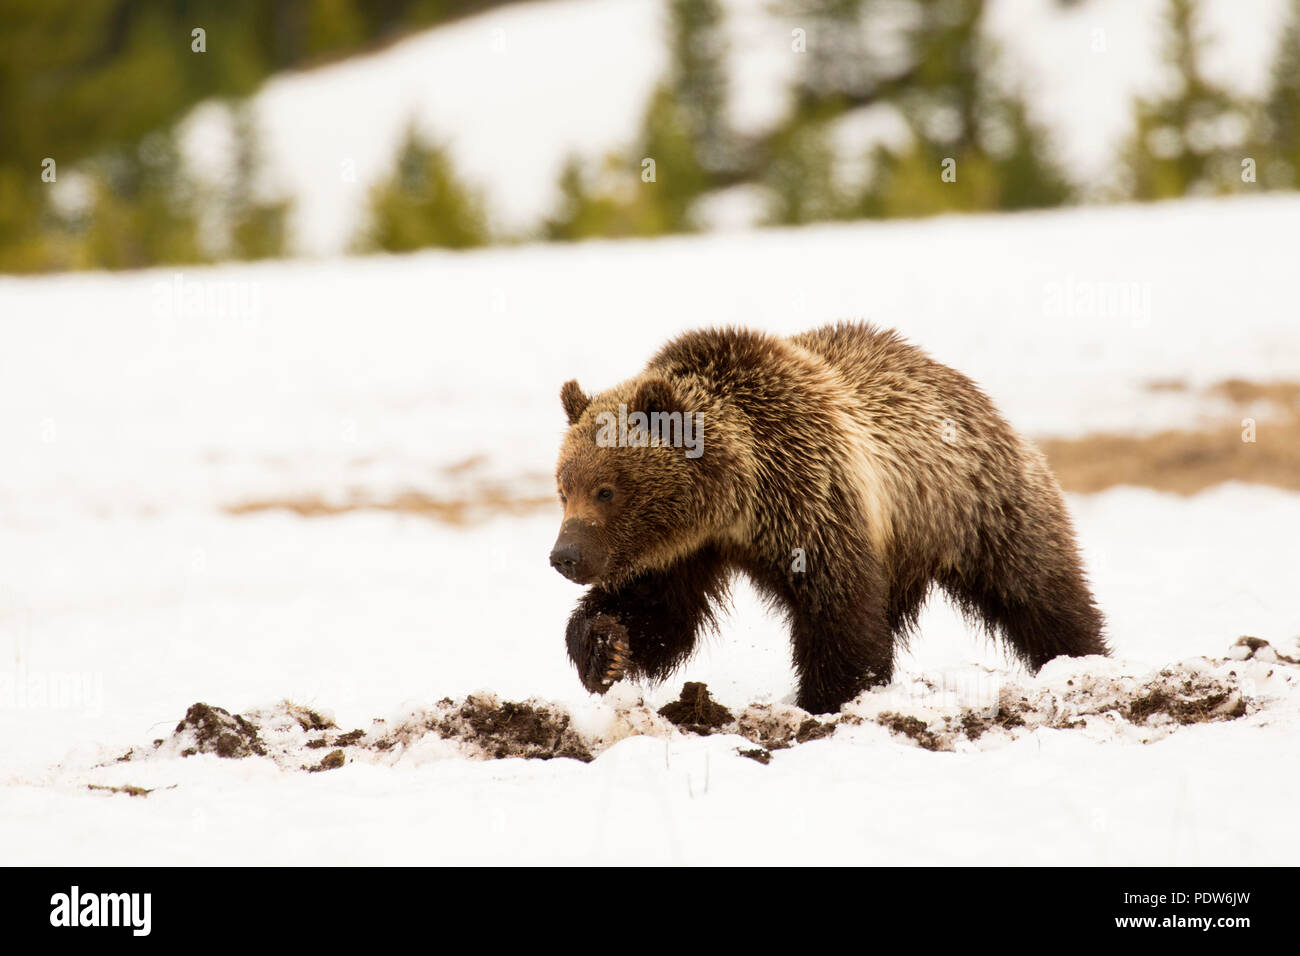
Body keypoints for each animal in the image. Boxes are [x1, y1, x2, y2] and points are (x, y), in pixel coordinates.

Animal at [551, 325, 1107, 712]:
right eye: (563, 489)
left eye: (606, 490)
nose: (564, 556)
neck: (735, 499)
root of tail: (965, 387)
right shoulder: (682, 549)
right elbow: (660, 611)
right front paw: (606, 649)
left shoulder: (811, 496)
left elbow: (838, 608)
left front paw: (826, 698)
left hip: (977, 503)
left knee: (1037, 588)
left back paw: (1080, 658)